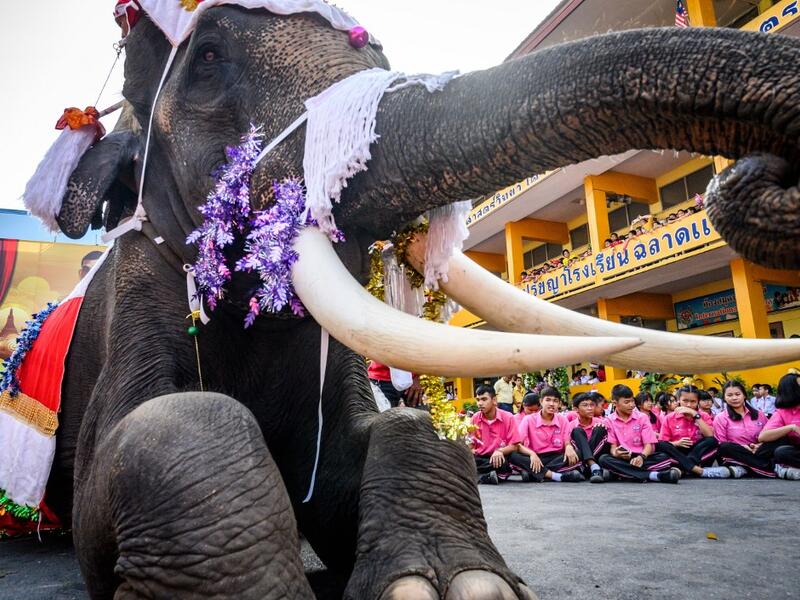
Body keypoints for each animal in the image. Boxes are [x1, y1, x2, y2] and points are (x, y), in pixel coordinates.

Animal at [33, 4, 800, 599]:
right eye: (209, 58)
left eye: (378, 54)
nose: (753, 177)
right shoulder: (136, 283)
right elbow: (157, 427)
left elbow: (374, 444)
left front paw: (463, 583)